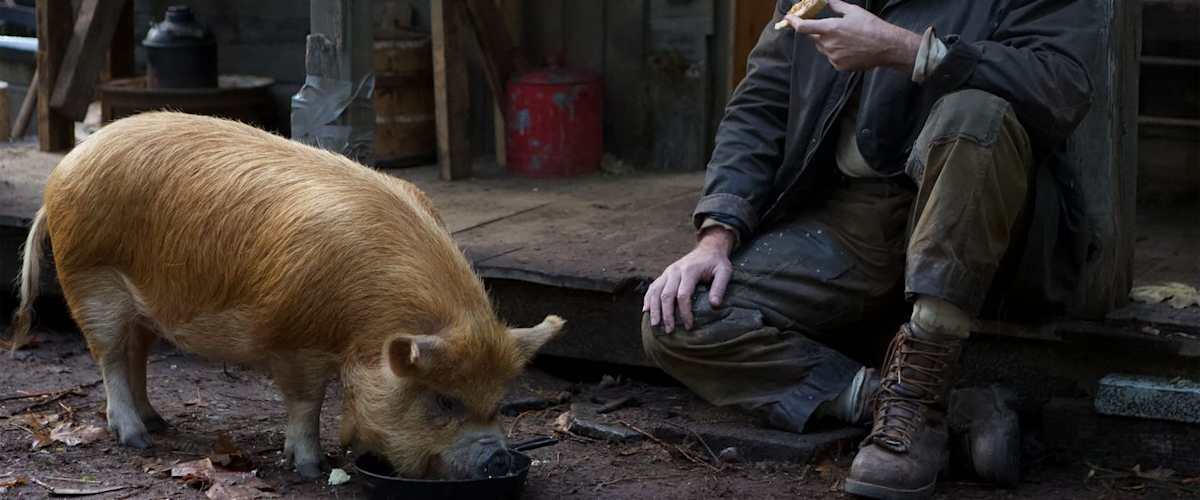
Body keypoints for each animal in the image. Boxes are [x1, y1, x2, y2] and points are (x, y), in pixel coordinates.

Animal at [9, 112, 565, 480]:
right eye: (445, 400)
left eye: (498, 403)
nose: (497, 457)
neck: (364, 322)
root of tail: (64, 169)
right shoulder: (294, 340)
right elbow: (305, 401)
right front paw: (311, 469)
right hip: (90, 278)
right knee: (109, 357)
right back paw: (136, 438)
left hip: (142, 303)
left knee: (137, 353)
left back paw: (158, 422)